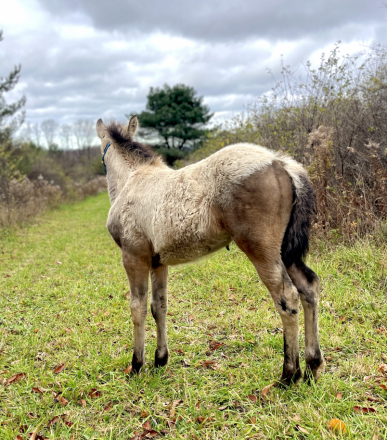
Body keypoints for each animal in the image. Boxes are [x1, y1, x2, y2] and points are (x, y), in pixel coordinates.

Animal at [96, 115, 324, 384]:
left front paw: (137, 365)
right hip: (286, 253)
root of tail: (281, 162)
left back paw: (289, 374)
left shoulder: (134, 257)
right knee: (309, 287)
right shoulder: (158, 262)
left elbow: (137, 308)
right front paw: (160, 360)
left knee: (287, 297)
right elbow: (159, 306)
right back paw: (312, 367)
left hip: (262, 250)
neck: (132, 180)